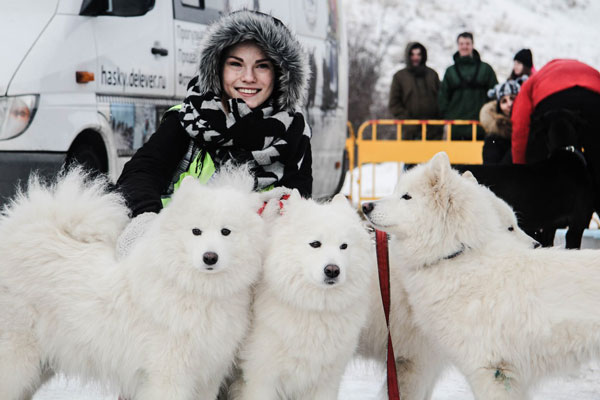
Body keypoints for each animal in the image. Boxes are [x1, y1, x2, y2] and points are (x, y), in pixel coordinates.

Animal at [0, 166, 264, 400]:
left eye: (226, 232)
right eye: (196, 231)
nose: (210, 257)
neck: (197, 292)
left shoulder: (208, 377)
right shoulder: (168, 376)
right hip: (18, 361)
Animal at [231, 191, 376, 400]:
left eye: (344, 246)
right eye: (315, 244)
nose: (333, 270)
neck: (316, 310)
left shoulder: (326, 382)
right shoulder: (261, 378)